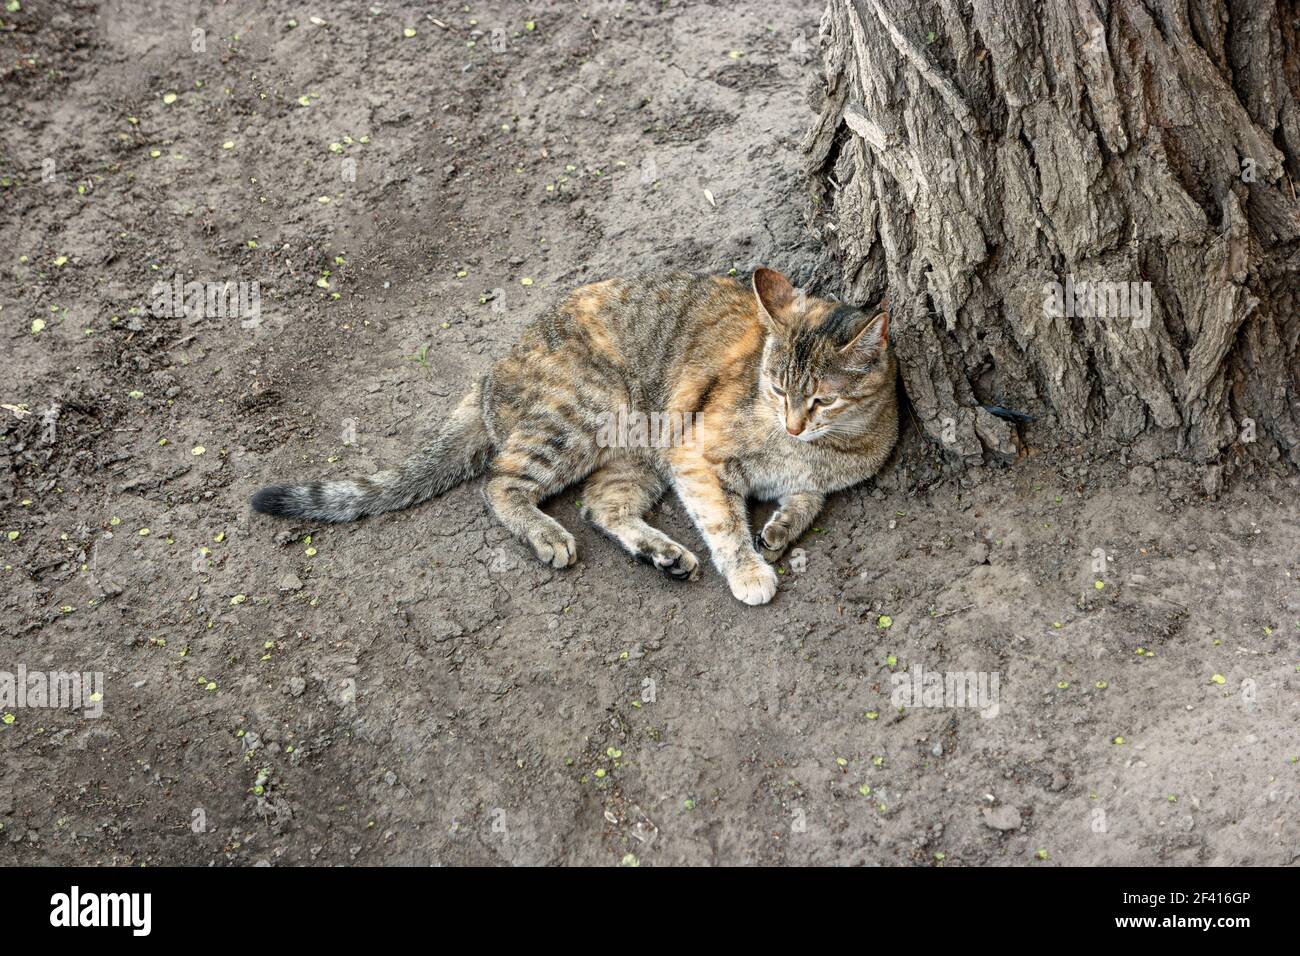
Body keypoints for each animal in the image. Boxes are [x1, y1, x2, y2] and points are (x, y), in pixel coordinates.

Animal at [256, 267, 904, 606]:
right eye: (775, 388)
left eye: (820, 399)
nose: (792, 422)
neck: (827, 446)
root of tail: (490, 369)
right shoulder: (695, 454)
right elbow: (725, 522)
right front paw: (749, 568)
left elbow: (808, 498)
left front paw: (782, 526)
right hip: (583, 416)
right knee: (500, 483)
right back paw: (548, 535)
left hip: (635, 456)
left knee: (600, 506)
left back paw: (663, 554)